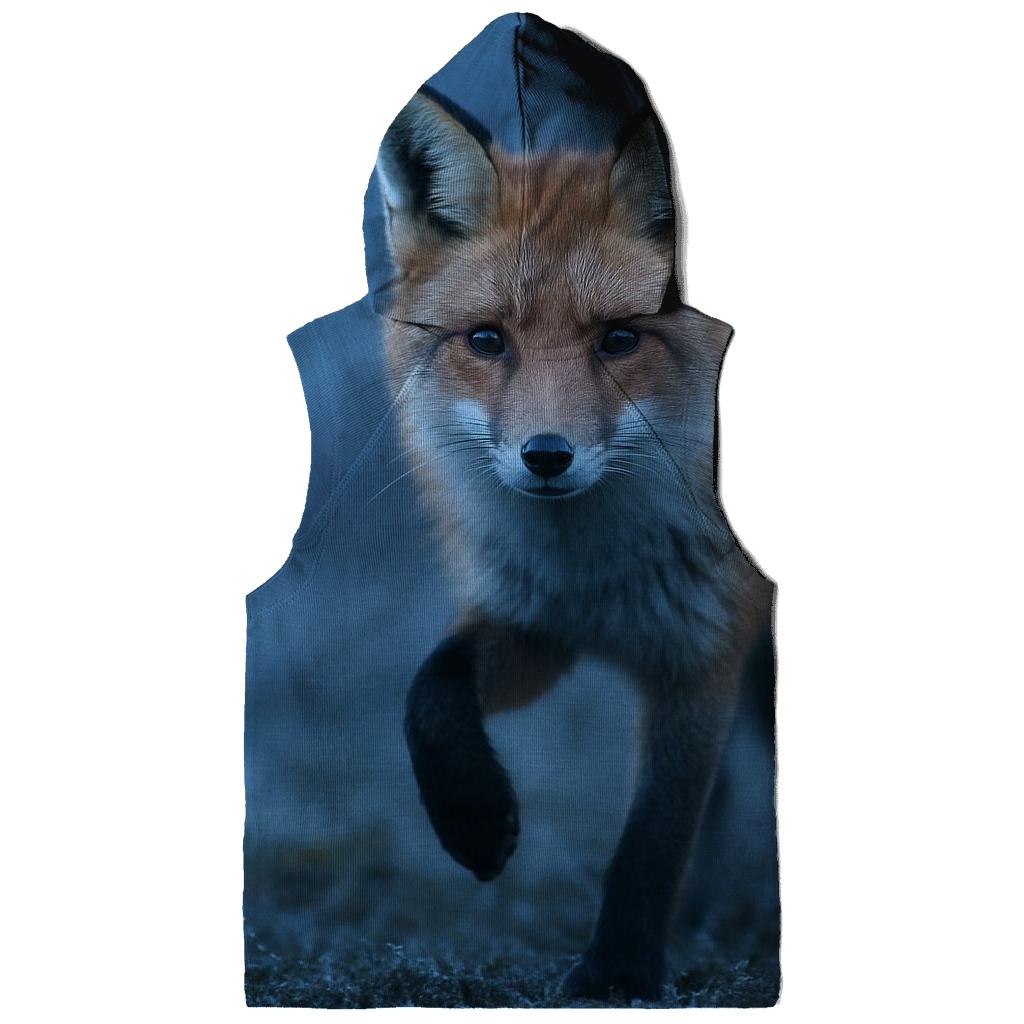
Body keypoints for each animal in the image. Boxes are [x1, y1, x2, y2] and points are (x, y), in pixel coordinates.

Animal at [374, 91, 774, 1002]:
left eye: (619, 339)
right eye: (487, 340)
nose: (546, 456)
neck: (600, 571)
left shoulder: (701, 650)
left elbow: (652, 837)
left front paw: (617, 975)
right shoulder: (537, 625)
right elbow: (430, 692)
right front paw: (473, 820)